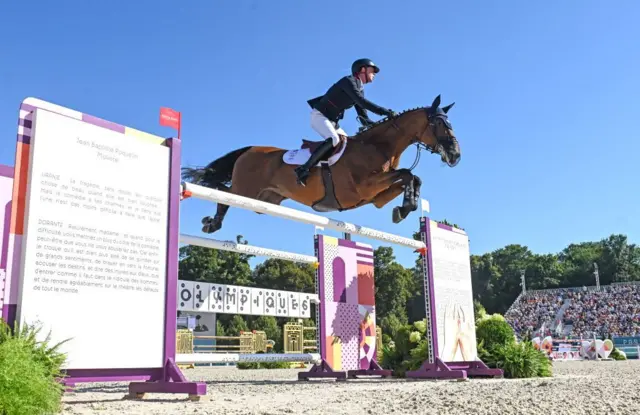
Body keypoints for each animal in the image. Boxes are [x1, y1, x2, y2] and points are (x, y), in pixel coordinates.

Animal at [182, 95, 462, 236]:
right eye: (439, 123)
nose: (455, 155)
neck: (379, 147)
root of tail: (249, 149)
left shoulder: (376, 197)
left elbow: (411, 178)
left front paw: (403, 209)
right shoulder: (363, 188)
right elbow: (406, 174)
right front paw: (405, 207)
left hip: (264, 200)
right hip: (245, 190)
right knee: (223, 194)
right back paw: (211, 223)